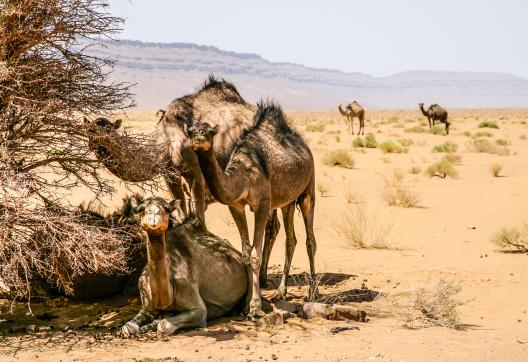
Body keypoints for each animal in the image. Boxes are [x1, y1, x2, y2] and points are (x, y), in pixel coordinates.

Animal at [122, 197, 249, 336]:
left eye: (167, 209)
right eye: (141, 209)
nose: (154, 214)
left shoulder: (198, 308)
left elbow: (164, 325)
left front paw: (154, 324)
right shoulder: (147, 306)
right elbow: (128, 326)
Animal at [188, 100, 316, 318]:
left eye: (210, 132)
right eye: (191, 131)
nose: (198, 140)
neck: (244, 174)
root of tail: (305, 147)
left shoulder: (262, 205)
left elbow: (255, 255)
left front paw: (256, 307)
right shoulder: (236, 206)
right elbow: (246, 254)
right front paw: (247, 305)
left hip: (309, 188)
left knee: (310, 239)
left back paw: (313, 292)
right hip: (287, 202)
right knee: (291, 240)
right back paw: (281, 292)